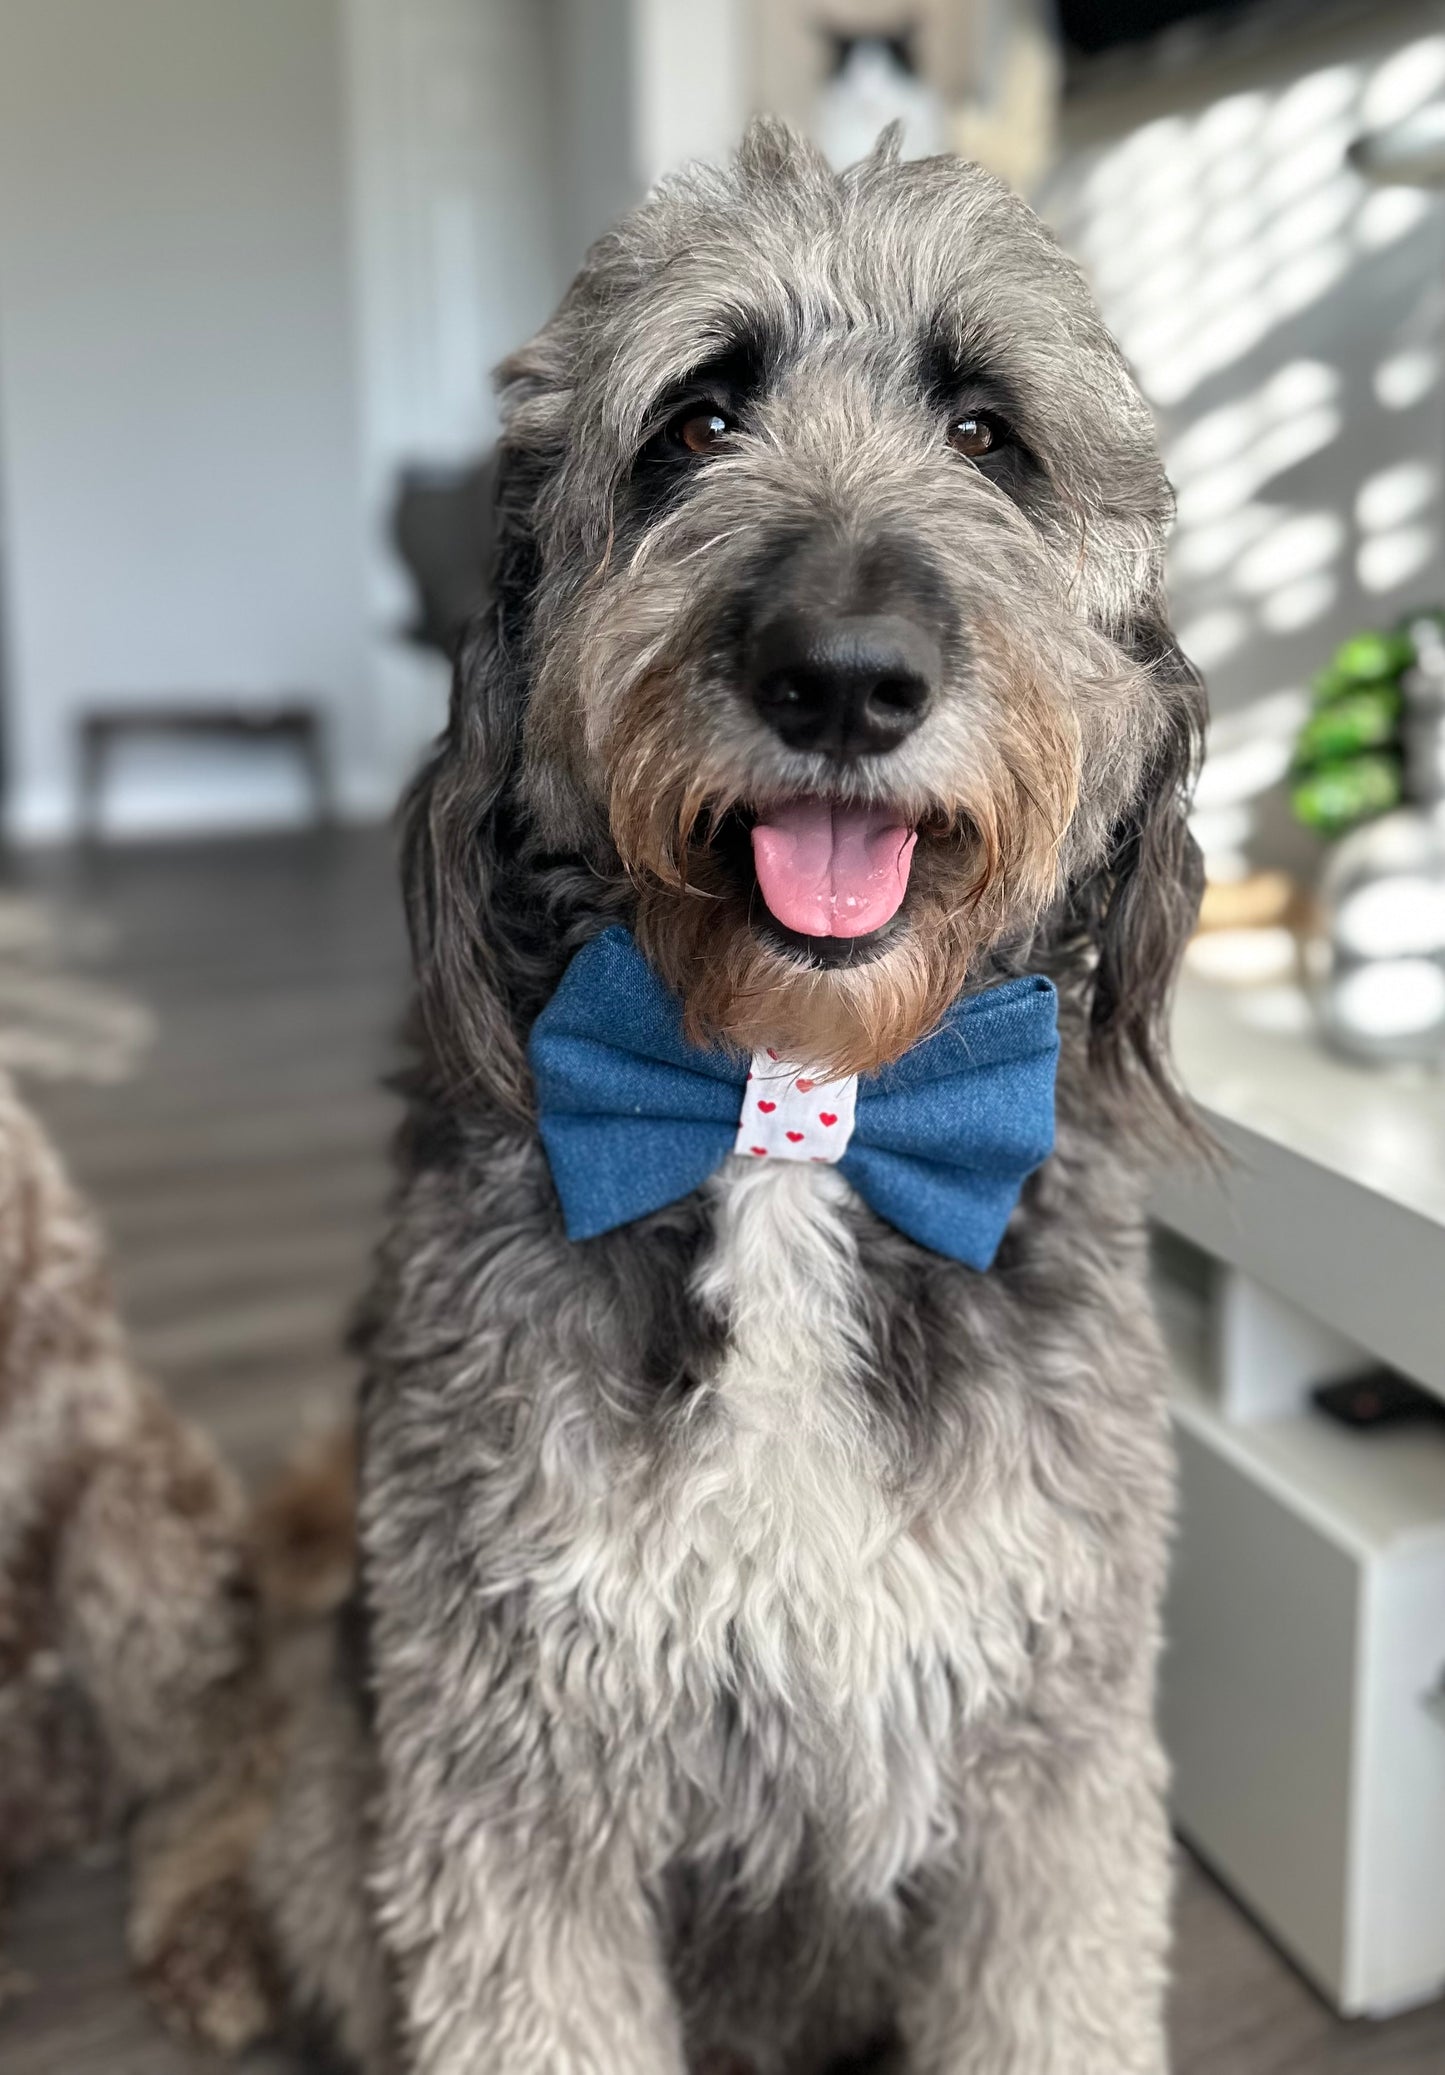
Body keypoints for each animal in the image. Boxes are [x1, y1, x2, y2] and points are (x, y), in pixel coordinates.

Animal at [254, 117, 1204, 2075]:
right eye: (694, 421)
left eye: (988, 432)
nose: (841, 676)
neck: (795, 1111)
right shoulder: (505, 1784)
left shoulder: (1056, 1763)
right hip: (326, 1806)